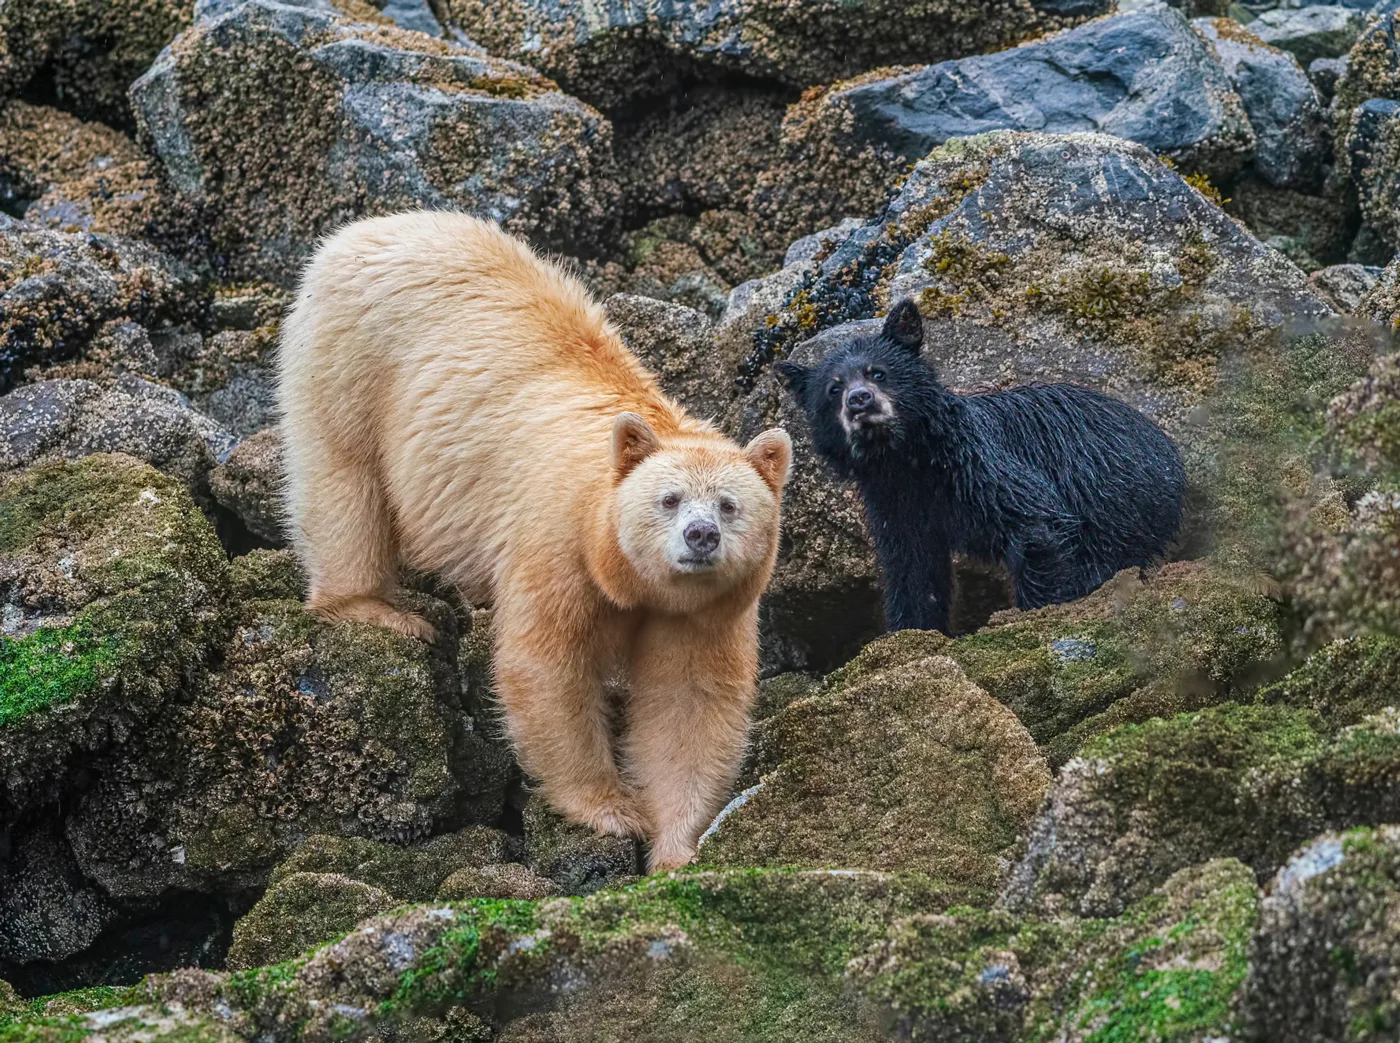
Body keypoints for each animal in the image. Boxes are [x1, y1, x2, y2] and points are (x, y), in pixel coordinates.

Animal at [278, 211, 795, 868]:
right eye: (670, 499)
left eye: (729, 506)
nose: (700, 536)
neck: (616, 560)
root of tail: (371, 228)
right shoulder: (556, 538)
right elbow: (547, 667)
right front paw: (612, 809)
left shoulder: (709, 609)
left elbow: (689, 703)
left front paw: (677, 850)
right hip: (352, 357)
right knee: (345, 480)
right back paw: (372, 608)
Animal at [778, 295, 1181, 635]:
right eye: (833, 389)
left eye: (877, 372)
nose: (859, 400)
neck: (907, 460)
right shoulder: (894, 505)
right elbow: (912, 570)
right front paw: (912, 630)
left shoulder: (979, 465)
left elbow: (1037, 522)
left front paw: (1039, 609)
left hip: (1118, 500)